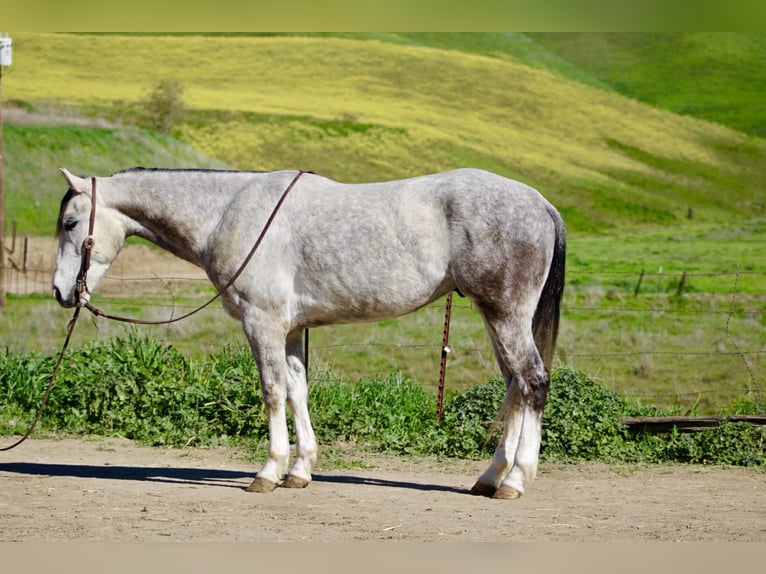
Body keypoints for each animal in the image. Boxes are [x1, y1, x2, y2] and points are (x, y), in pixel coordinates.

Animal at [53, 166, 566, 499]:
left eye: (71, 223)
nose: (60, 291)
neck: (228, 213)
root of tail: (541, 203)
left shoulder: (262, 323)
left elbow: (273, 391)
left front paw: (268, 471)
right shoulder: (293, 329)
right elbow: (298, 391)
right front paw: (299, 471)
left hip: (504, 314)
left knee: (533, 381)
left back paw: (515, 480)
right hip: (497, 318)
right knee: (515, 386)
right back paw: (490, 478)